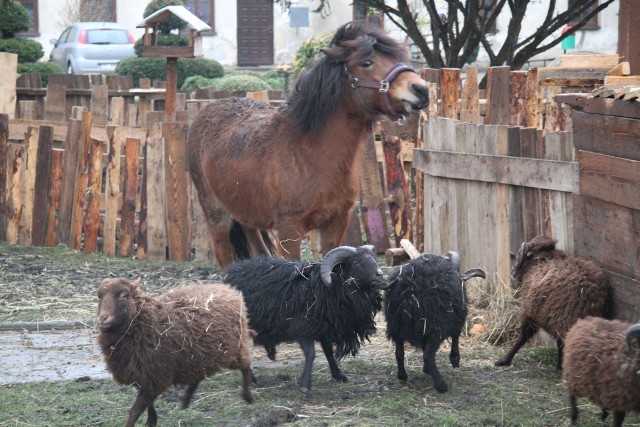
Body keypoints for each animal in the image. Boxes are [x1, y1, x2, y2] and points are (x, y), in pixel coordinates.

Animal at [96, 278, 254, 427]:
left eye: (124, 295)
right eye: (100, 296)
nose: (102, 318)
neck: (142, 321)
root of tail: (229, 290)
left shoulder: (154, 374)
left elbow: (135, 410)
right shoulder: (147, 376)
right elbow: (148, 403)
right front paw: (152, 420)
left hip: (232, 349)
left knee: (245, 365)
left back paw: (248, 396)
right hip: (198, 356)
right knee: (198, 377)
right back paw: (185, 402)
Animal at [188, 20, 428, 268]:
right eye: (366, 62)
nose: (421, 89)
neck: (310, 153)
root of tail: (205, 111)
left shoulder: (335, 223)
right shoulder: (289, 230)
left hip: (245, 213)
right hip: (215, 212)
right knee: (224, 255)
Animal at [492, 236, 612, 370]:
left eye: (519, 254)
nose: (512, 272)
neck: (543, 261)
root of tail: (588, 293)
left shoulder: (530, 311)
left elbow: (523, 337)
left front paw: (504, 360)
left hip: (562, 317)